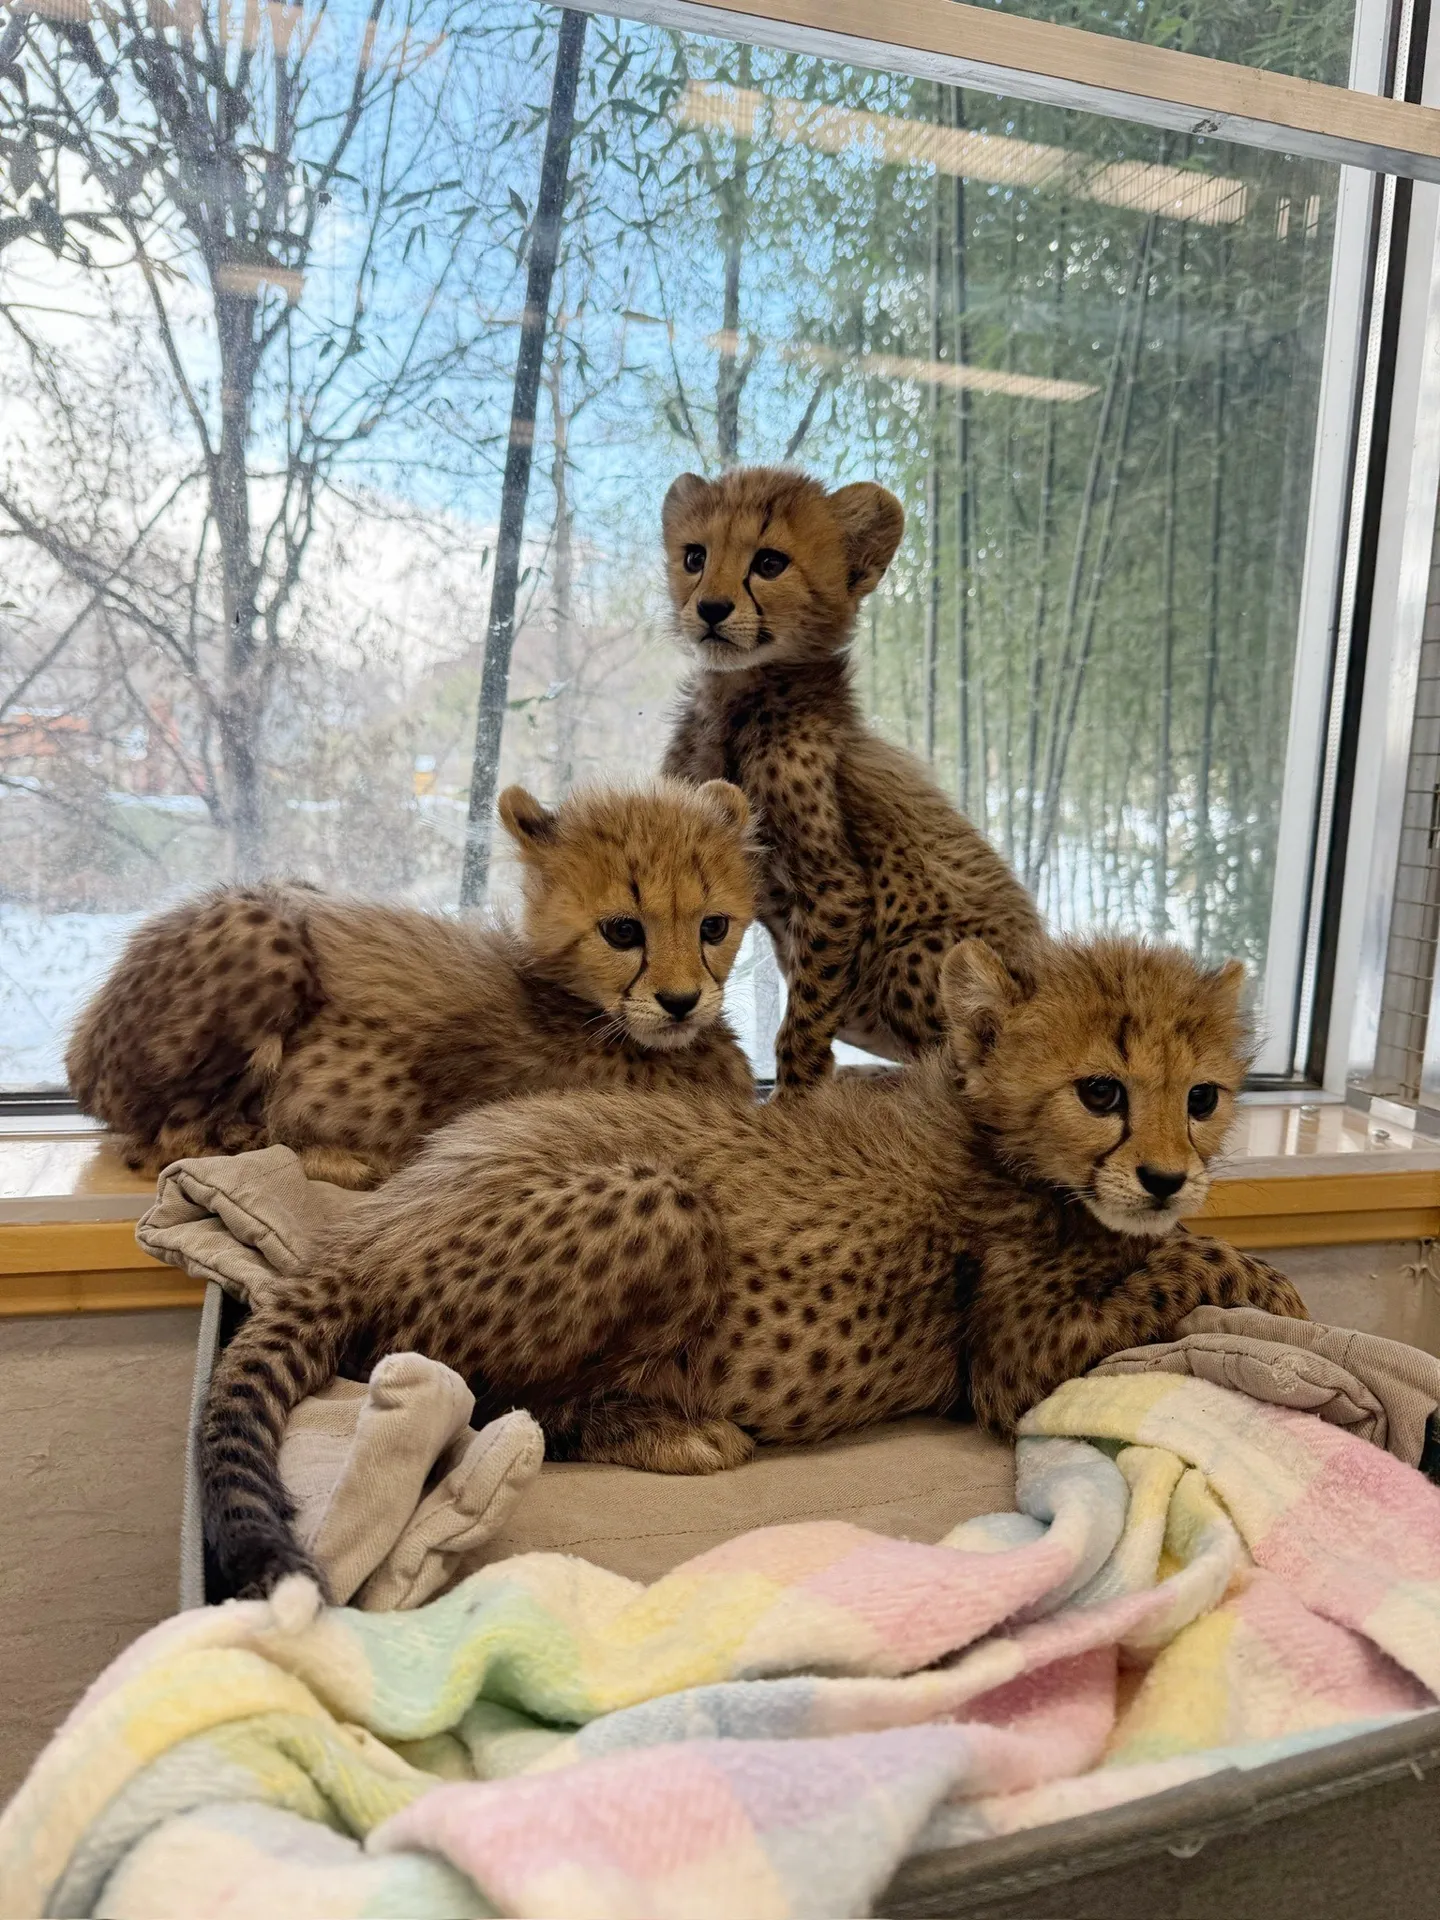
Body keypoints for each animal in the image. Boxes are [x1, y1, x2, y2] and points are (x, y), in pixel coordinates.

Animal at [67, 778, 757, 1190]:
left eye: (713, 926)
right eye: (622, 931)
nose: (681, 1002)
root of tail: (80, 1053)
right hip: (263, 933)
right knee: (164, 1142)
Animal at [199, 932, 1307, 1599]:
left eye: (1202, 1098)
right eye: (1100, 1091)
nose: (1166, 1177)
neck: (1002, 1143)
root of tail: (379, 1222)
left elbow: (1163, 1255)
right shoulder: (1015, 1359)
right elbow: (1174, 1270)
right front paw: (1270, 1285)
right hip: (658, 1205)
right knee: (503, 1409)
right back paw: (672, 1430)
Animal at [659, 464, 1044, 1092]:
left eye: (769, 563)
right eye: (695, 556)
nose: (711, 608)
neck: (740, 695)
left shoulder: (835, 888)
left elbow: (805, 1017)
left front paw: (792, 1101)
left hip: (910, 959)